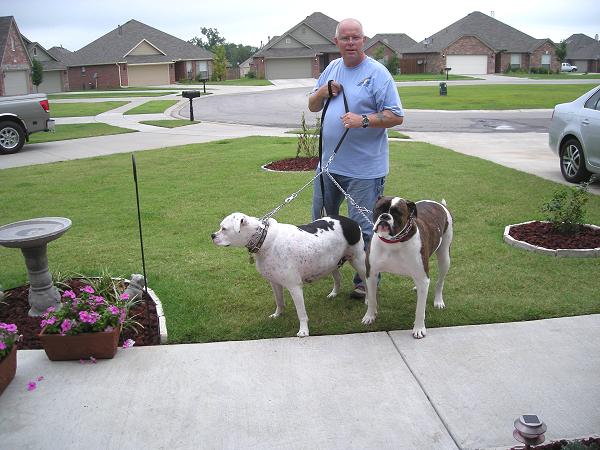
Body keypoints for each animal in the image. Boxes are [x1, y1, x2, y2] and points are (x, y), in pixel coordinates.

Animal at [360, 195, 454, 340]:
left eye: (397, 213)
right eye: (380, 208)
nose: (385, 216)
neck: (393, 241)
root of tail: (438, 203)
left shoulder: (423, 278)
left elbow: (420, 309)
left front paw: (419, 328)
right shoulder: (371, 274)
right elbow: (371, 299)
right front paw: (370, 316)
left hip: (444, 257)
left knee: (440, 281)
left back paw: (438, 301)